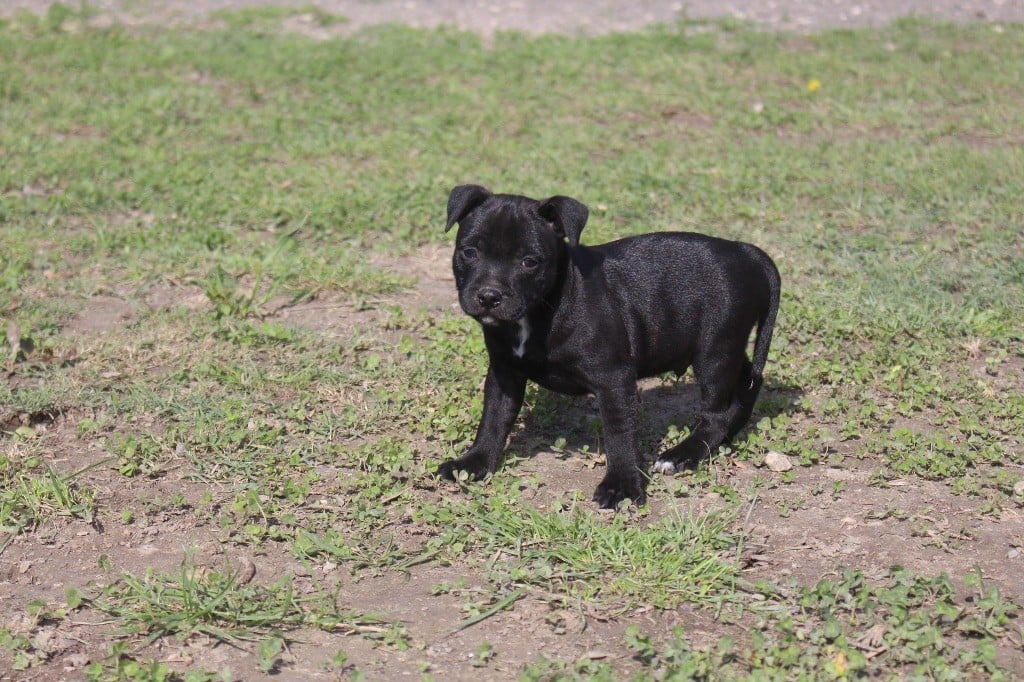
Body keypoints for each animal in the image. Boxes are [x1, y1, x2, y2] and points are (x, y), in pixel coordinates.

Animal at [436, 183, 778, 507]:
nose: (489, 296)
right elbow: (494, 418)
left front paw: (622, 485)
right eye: (469, 253)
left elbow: (619, 433)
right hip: (726, 348)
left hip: (714, 351)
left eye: (529, 262)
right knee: (747, 382)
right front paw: (474, 462)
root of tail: (746, 251)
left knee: (716, 413)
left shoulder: (613, 378)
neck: (545, 305)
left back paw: (683, 454)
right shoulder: (504, 372)